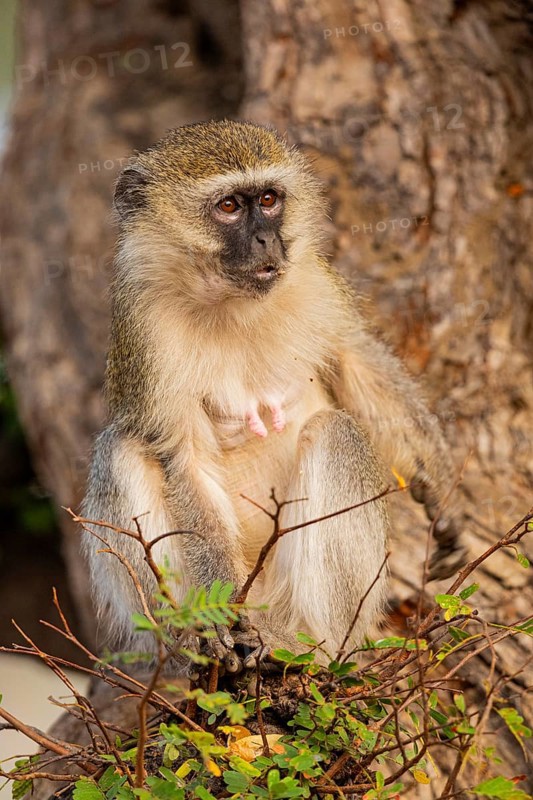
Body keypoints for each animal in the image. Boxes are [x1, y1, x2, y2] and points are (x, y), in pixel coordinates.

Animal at [82, 119, 465, 671]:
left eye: (268, 199)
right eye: (228, 207)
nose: (267, 239)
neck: (231, 304)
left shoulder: (314, 278)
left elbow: (355, 358)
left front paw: (437, 486)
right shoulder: (144, 326)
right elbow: (186, 460)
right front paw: (218, 626)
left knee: (336, 431)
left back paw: (315, 647)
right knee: (121, 448)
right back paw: (194, 646)